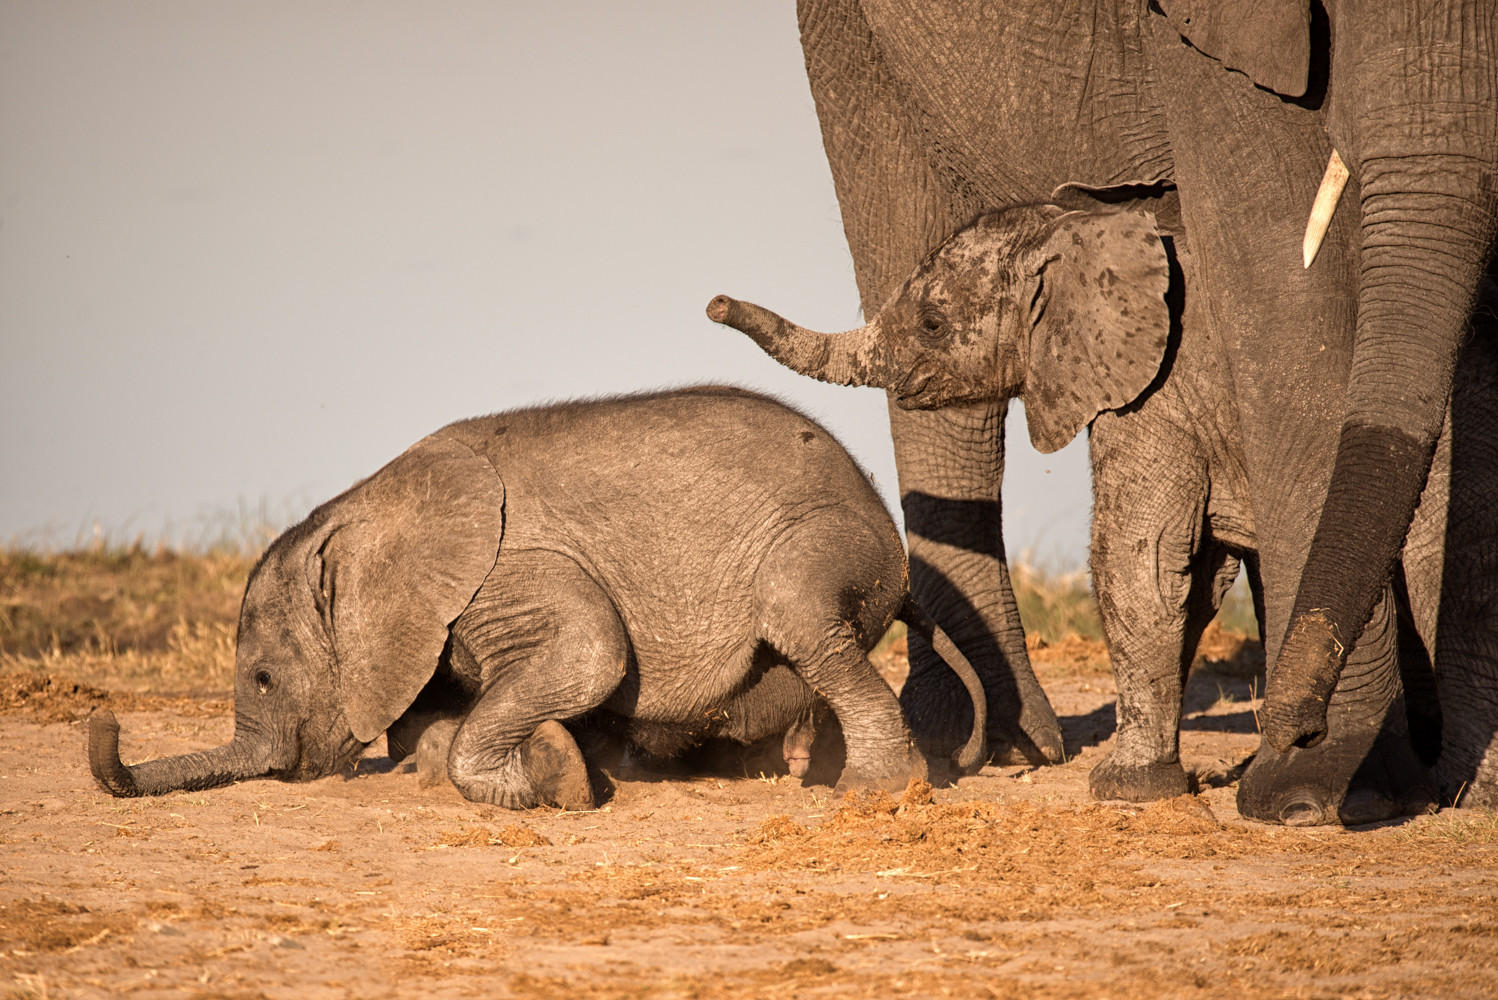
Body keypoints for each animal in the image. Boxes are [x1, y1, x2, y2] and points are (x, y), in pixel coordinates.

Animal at [87, 386, 988, 808]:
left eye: (266, 679)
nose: (105, 719)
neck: (362, 510)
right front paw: (538, 760)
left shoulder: (506, 567)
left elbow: (593, 654)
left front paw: (547, 783)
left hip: (826, 540)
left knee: (799, 611)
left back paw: (870, 790)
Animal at [790, 0, 1492, 820]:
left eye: (933, 324)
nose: (715, 305)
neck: (1083, 232)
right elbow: (1189, 569)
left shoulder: (1161, 387)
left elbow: (1145, 554)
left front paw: (1138, 789)